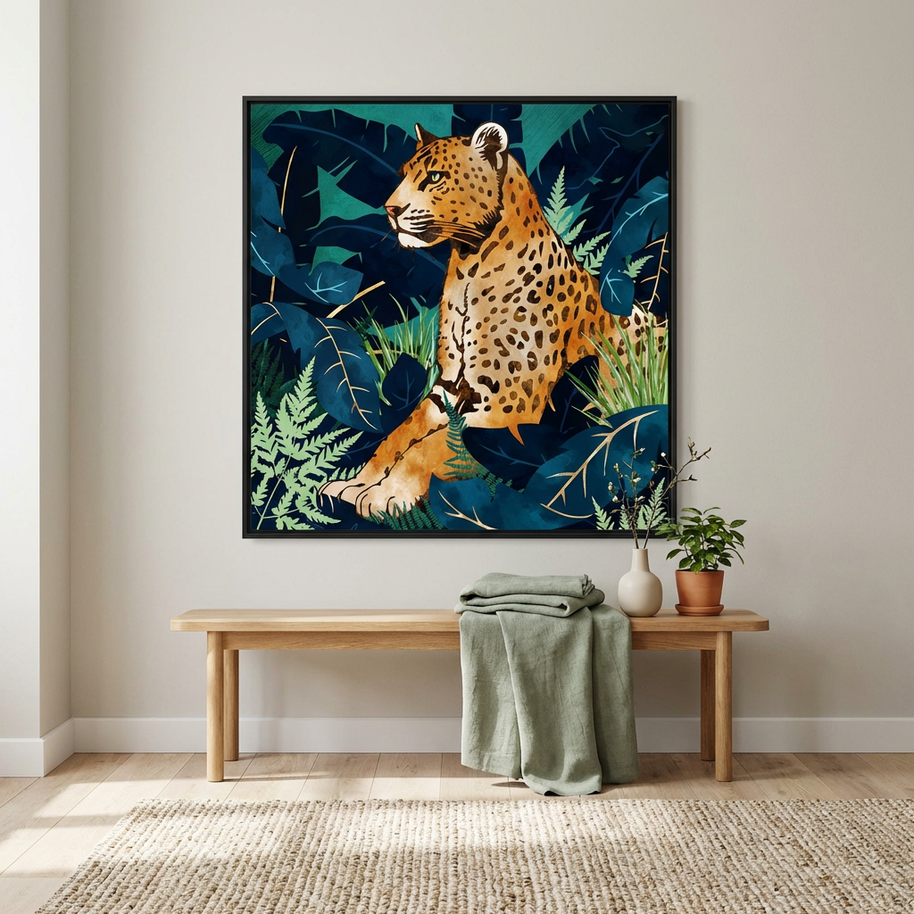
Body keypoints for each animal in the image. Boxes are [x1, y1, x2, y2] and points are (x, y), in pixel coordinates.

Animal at [321, 121, 657, 519]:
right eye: (404, 174)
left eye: (434, 177)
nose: (390, 208)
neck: (469, 264)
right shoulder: (448, 386)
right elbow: (399, 436)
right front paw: (356, 484)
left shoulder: (507, 403)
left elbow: (434, 446)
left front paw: (384, 495)